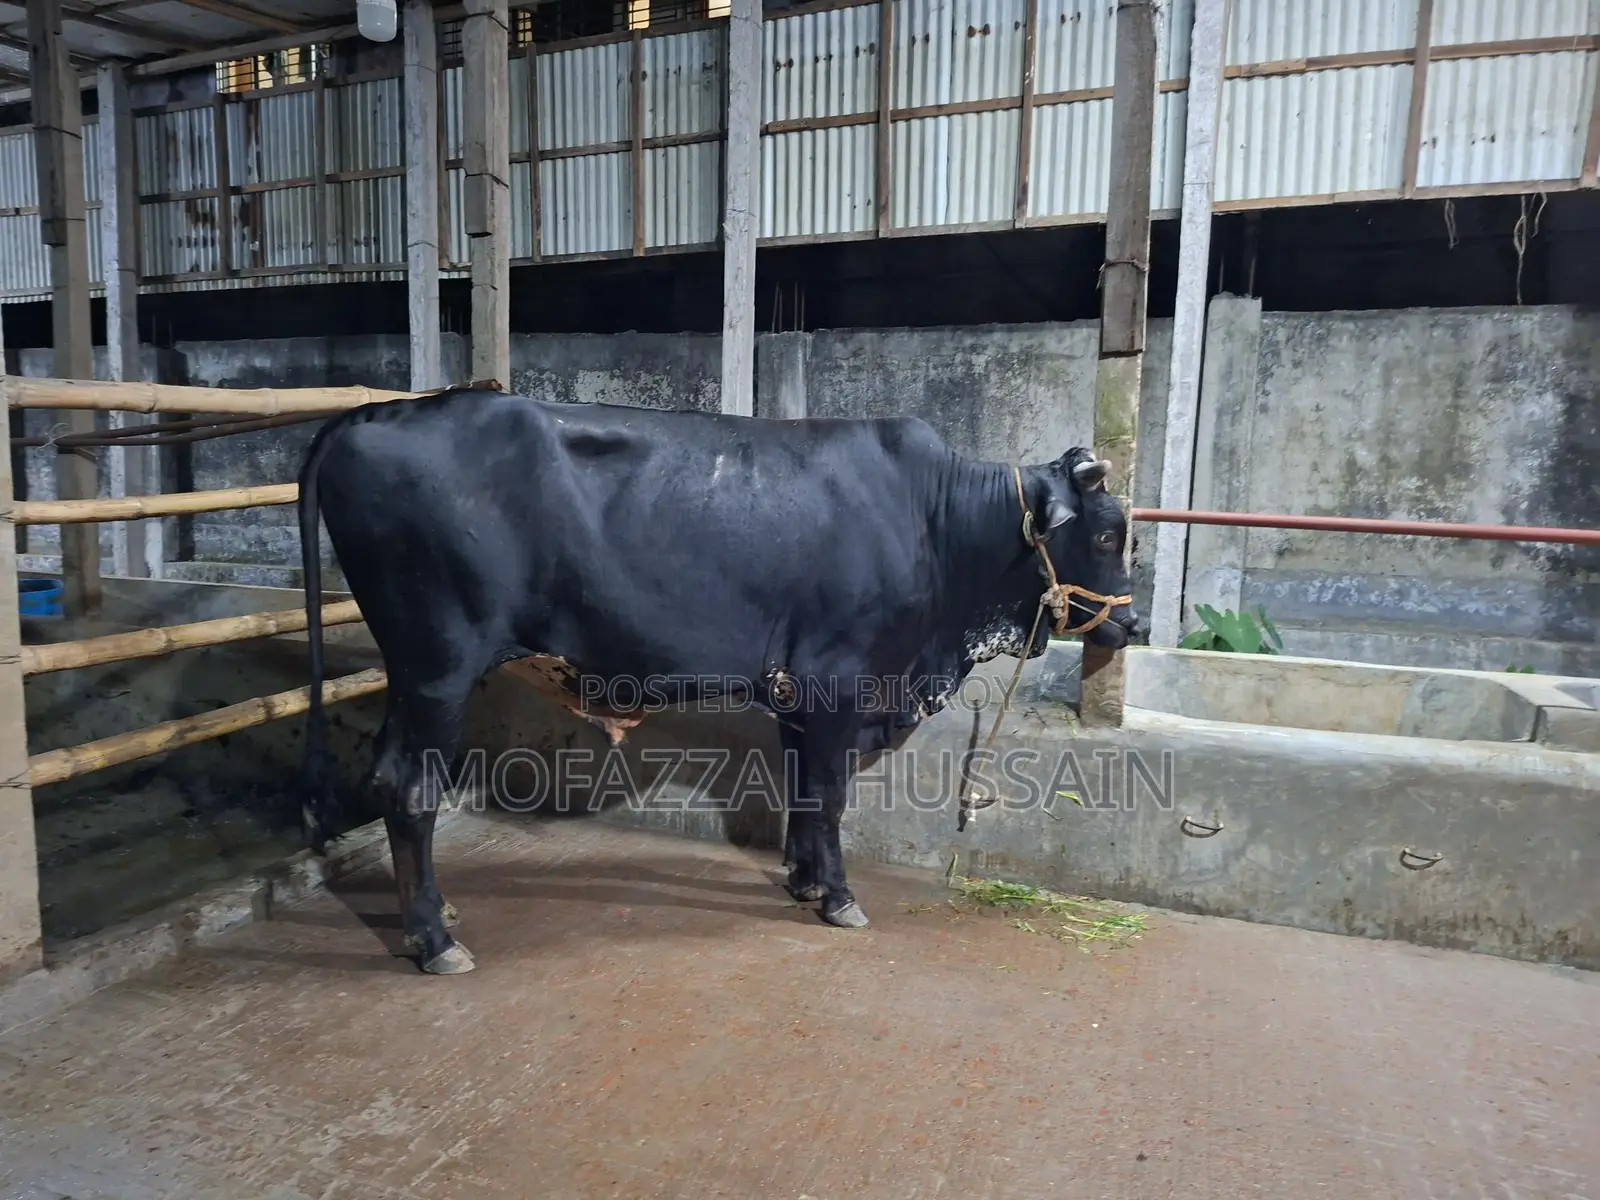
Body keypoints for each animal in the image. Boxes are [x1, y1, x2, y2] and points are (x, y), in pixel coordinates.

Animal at [296, 385, 1141, 975]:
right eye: (1106, 534)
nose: (1133, 625)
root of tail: (371, 414)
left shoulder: (800, 694)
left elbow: (803, 788)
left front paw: (804, 881)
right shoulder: (838, 681)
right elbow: (829, 793)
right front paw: (839, 897)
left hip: (412, 672)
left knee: (389, 775)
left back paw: (435, 917)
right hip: (439, 665)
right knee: (410, 785)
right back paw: (434, 939)